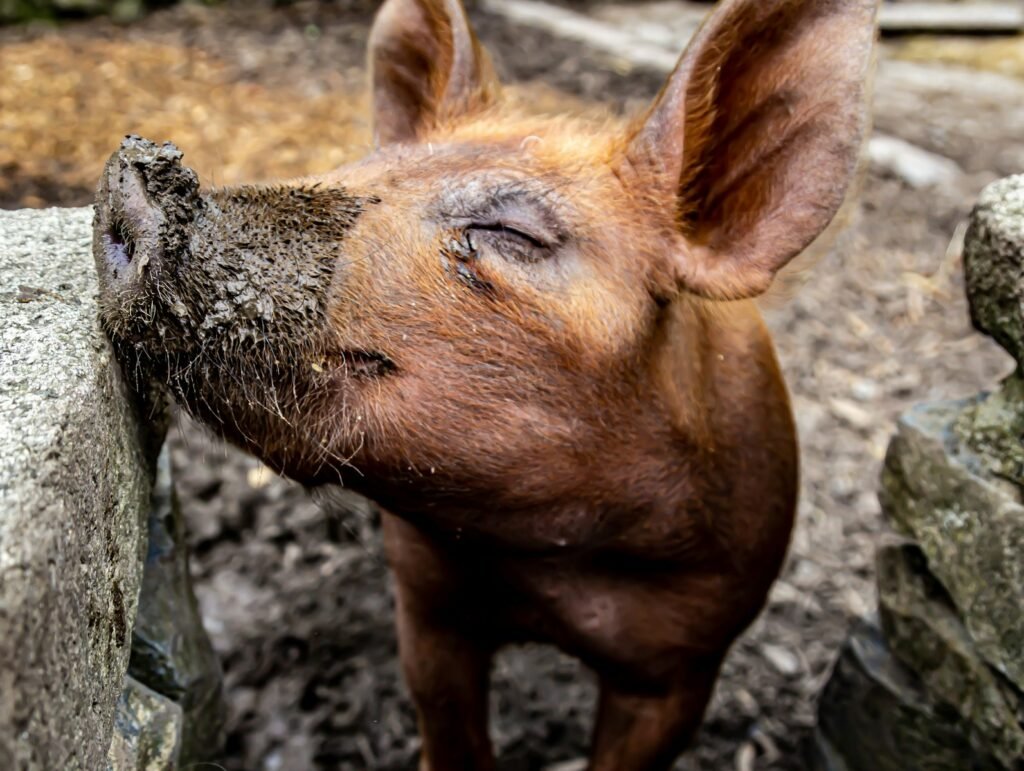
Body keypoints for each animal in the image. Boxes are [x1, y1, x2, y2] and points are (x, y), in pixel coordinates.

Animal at [94, 1, 880, 765]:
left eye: (513, 231)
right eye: (356, 167)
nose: (131, 179)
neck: (551, 567)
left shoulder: (688, 657)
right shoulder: (427, 600)